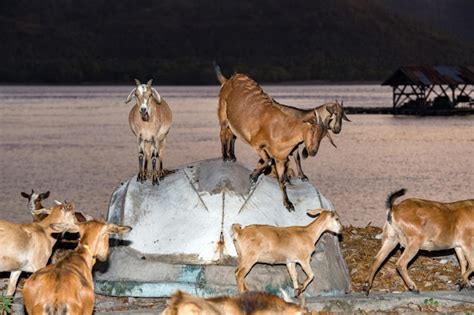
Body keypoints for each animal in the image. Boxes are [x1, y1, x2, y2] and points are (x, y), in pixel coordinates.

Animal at [217, 73, 328, 212]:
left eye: (322, 134)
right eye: (312, 129)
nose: (313, 151)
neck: (280, 129)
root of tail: (228, 80)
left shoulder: (281, 158)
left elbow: (281, 180)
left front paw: (288, 204)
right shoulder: (257, 145)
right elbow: (269, 161)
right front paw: (253, 176)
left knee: (232, 136)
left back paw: (232, 157)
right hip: (223, 115)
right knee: (223, 134)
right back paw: (225, 157)